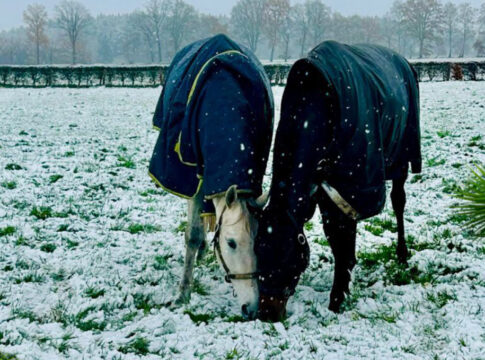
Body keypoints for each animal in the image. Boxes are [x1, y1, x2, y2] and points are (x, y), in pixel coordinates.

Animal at [148, 35, 272, 320]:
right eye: (231, 243)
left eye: (260, 241)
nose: (252, 309)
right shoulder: (194, 177)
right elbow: (192, 234)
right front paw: (183, 293)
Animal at [258, 41, 420, 320]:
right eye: (257, 254)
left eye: (286, 259)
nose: (266, 313)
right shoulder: (325, 188)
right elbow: (336, 236)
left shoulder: (352, 182)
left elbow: (342, 234)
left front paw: (338, 296)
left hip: (402, 159)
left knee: (399, 201)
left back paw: (402, 253)